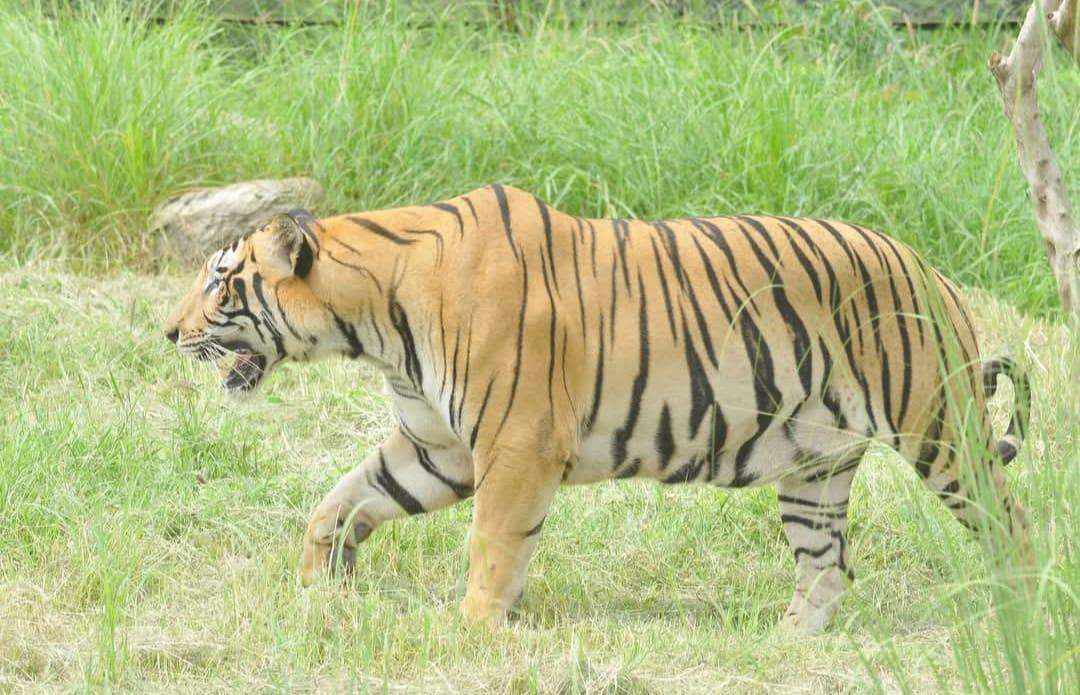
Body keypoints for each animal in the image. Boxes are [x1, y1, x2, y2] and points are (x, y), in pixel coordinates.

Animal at [164, 183, 1031, 634]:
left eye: (218, 280)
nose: (169, 331)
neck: (372, 321)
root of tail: (934, 270)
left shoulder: (516, 444)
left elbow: (493, 544)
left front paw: (473, 628)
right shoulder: (436, 448)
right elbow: (342, 499)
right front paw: (321, 581)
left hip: (939, 430)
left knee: (1009, 519)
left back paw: (1020, 611)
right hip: (815, 464)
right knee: (826, 569)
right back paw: (785, 644)